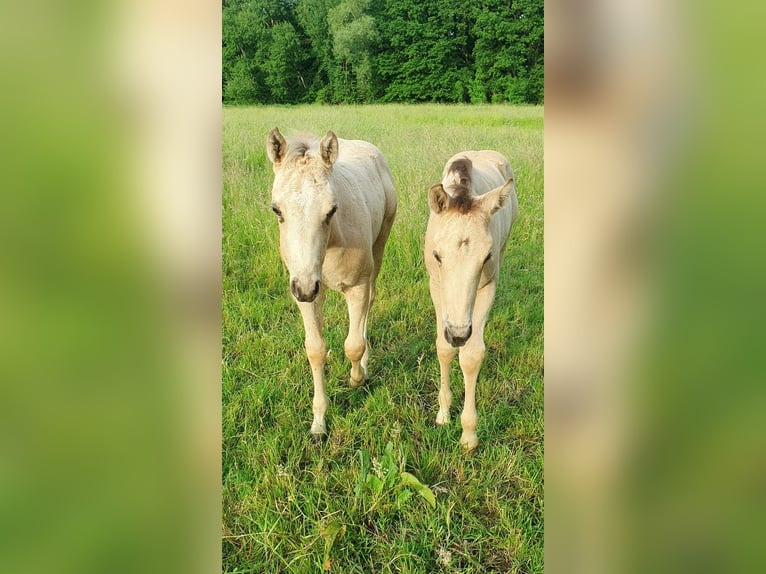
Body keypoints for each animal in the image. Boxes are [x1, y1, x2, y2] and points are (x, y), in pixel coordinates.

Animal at [266, 128, 397, 438]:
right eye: (276, 210)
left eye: (331, 210)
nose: (305, 287)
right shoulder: (305, 292)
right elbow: (315, 350)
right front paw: (318, 423)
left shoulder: (357, 286)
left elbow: (353, 345)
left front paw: (357, 378)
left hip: (380, 245)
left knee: (371, 301)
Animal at [424, 151, 518, 451]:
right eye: (437, 255)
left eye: (486, 256)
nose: (459, 334)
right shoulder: (436, 284)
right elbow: (443, 348)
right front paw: (443, 414)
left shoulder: (487, 285)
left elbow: (472, 355)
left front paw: (469, 434)